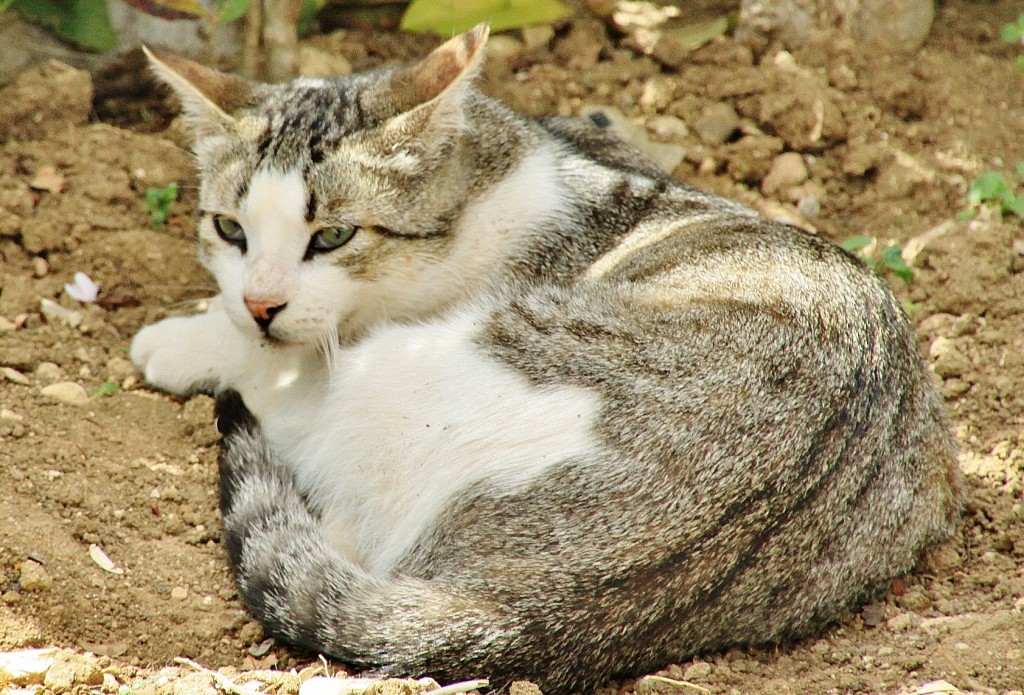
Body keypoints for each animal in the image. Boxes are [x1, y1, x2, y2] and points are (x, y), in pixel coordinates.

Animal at [132, 24, 962, 691]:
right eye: (230, 229)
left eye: (333, 237)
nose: (260, 302)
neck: (501, 174)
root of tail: (522, 604)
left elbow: (276, 361)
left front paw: (191, 337)